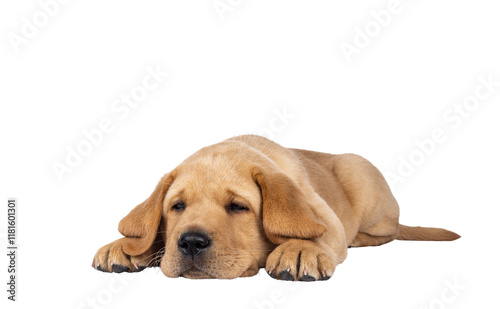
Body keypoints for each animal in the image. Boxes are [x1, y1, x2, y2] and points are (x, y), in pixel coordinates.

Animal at [92, 134, 458, 280]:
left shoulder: (328, 219)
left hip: (359, 171)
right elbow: (147, 233)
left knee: (385, 231)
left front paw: (299, 250)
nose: (191, 242)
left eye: (238, 207)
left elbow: (318, 232)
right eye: (177, 206)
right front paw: (123, 246)